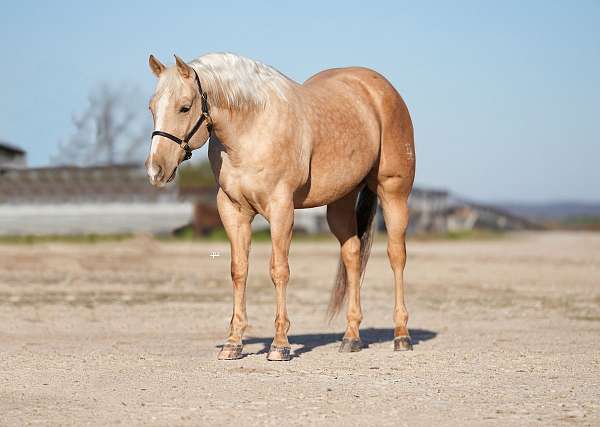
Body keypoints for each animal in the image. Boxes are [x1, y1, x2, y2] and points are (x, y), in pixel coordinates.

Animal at [148, 52, 414, 362]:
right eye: (151, 107)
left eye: (184, 107)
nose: (156, 171)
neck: (252, 127)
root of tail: (380, 88)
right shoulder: (233, 210)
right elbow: (239, 270)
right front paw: (233, 343)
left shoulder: (281, 208)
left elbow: (279, 270)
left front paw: (280, 344)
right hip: (341, 202)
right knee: (352, 256)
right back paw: (351, 337)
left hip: (393, 193)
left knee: (396, 256)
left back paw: (401, 335)